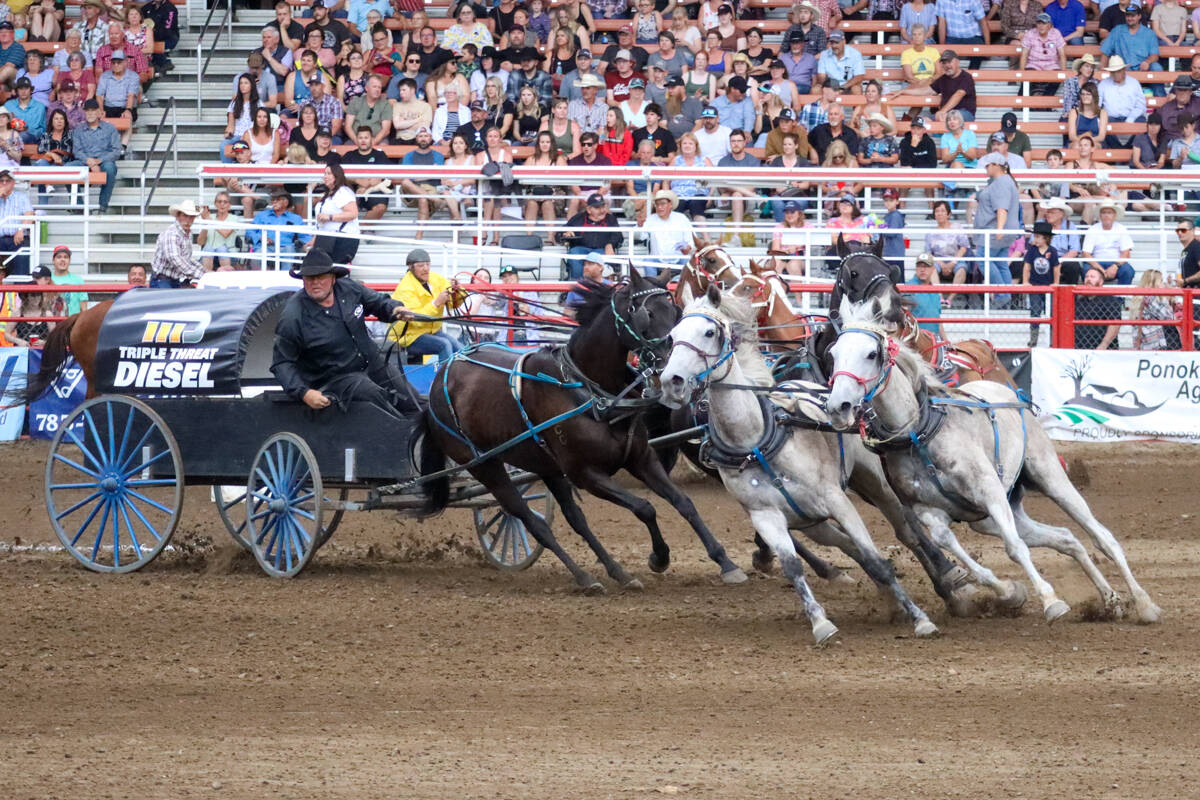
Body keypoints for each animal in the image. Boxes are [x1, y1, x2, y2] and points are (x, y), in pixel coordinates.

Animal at [417, 268, 744, 594]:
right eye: (646, 313)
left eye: (676, 312)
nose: (672, 374)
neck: (593, 392)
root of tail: (442, 375)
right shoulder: (586, 474)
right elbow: (645, 507)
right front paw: (659, 557)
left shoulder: (641, 459)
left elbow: (683, 503)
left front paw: (726, 562)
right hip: (486, 466)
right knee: (532, 521)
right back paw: (584, 577)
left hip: (544, 465)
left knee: (575, 519)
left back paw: (616, 571)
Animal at [662, 287, 940, 642]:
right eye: (672, 336)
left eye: (709, 332)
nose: (671, 381)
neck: (754, 441)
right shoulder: (765, 516)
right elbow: (794, 568)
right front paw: (820, 623)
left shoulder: (836, 500)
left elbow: (875, 557)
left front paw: (921, 618)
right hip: (810, 522)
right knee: (847, 545)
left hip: (874, 484)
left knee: (907, 532)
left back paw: (951, 584)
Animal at [830, 297, 1156, 628]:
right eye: (833, 353)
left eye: (871, 354)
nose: (837, 405)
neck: (918, 433)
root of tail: (1011, 392)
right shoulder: (928, 511)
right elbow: (947, 541)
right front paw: (1008, 591)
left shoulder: (990, 492)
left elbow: (1014, 548)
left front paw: (1051, 601)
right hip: (996, 517)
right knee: (1067, 539)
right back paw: (1110, 600)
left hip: (1049, 478)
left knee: (1102, 537)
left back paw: (1144, 603)